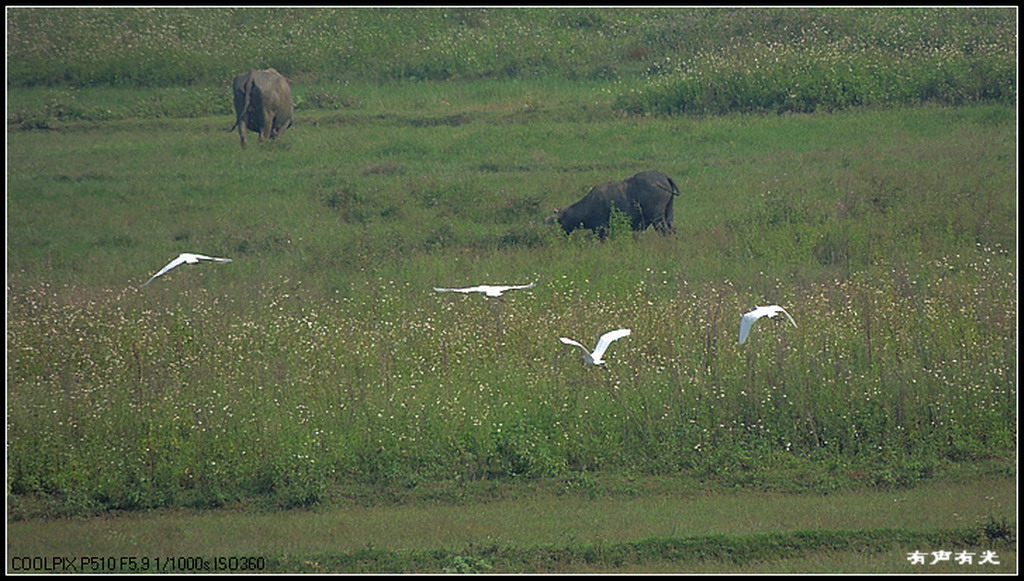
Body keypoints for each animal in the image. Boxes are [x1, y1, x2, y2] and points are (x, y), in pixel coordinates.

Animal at [544, 170, 679, 238]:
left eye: (558, 221)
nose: (557, 236)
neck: (588, 206)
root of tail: (664, 177)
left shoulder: (600, 229)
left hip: (657, 217)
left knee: (663, 230)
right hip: (669, 213)